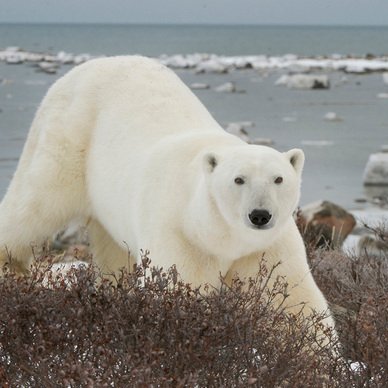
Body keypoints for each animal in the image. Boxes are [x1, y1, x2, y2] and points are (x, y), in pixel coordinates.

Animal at [0, 55, 334, 328]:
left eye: (278, 179)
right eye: (239, 179)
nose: (260, 215)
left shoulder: (267, 247)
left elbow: (296, 301)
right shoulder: (179, 235)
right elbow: (178, 295)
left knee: (113, 249)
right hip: (68, 140)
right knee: (34, 205)